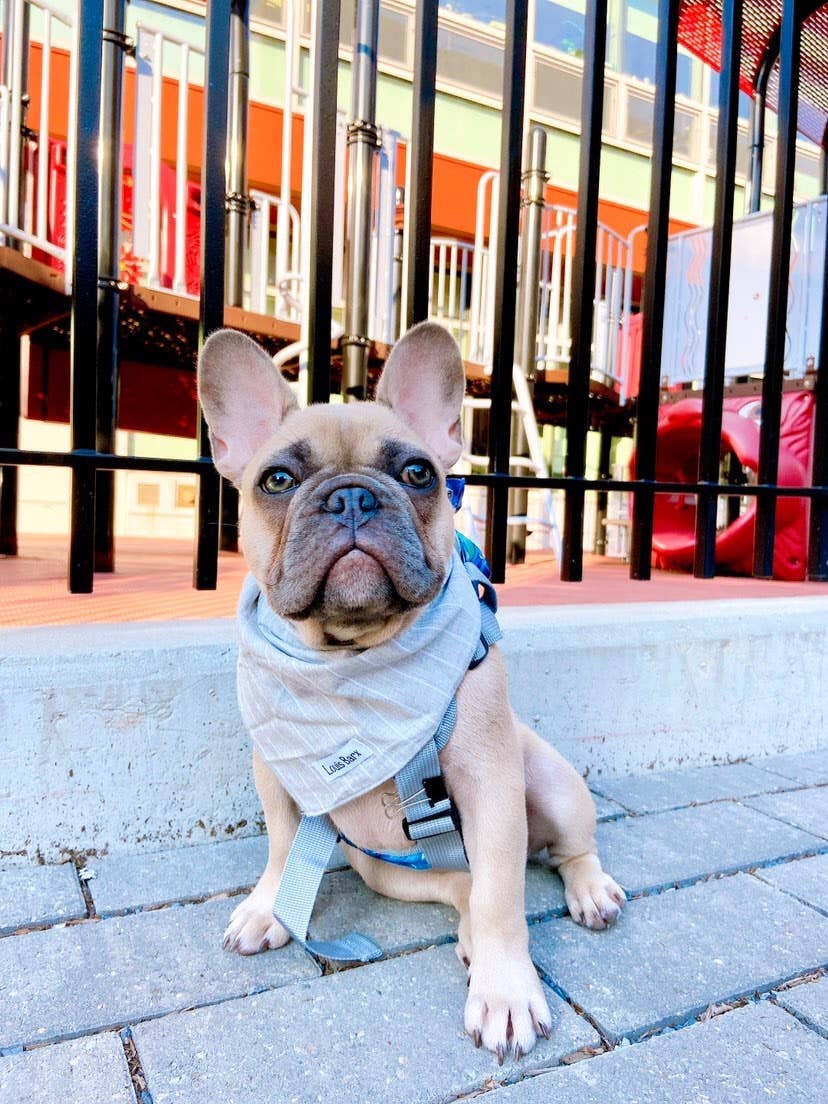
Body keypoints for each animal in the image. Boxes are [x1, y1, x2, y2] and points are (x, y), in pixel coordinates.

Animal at [197, 322, 627, 1059]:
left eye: (418, 473)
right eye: (277, 480)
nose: (350, 496)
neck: (352, 656)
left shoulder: (490, 785)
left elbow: (503, 901)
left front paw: (505, 991)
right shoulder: (276, 770)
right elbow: (282, 845)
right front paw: (267, 905)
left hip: (550, 783)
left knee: (555, 856)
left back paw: (587, 890)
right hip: (383, 867)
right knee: (463, 886)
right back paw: (468, 931)